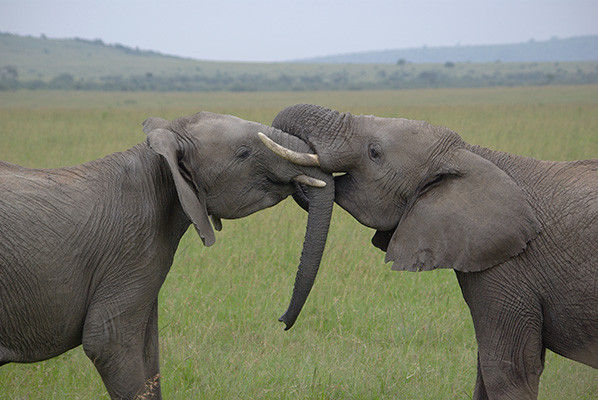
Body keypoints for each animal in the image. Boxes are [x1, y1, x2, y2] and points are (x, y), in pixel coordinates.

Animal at [0, 111, 336, 400]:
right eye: (243, 153)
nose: (282, 321)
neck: (157, 156)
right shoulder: (132, 244)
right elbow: (107, 339)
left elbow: (149, 352)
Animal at [268, 104, 598, 400]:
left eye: (374, 152)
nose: (282, 321)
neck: (469, 154)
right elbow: (485, 374)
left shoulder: (510, 266)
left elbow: (507, 371)